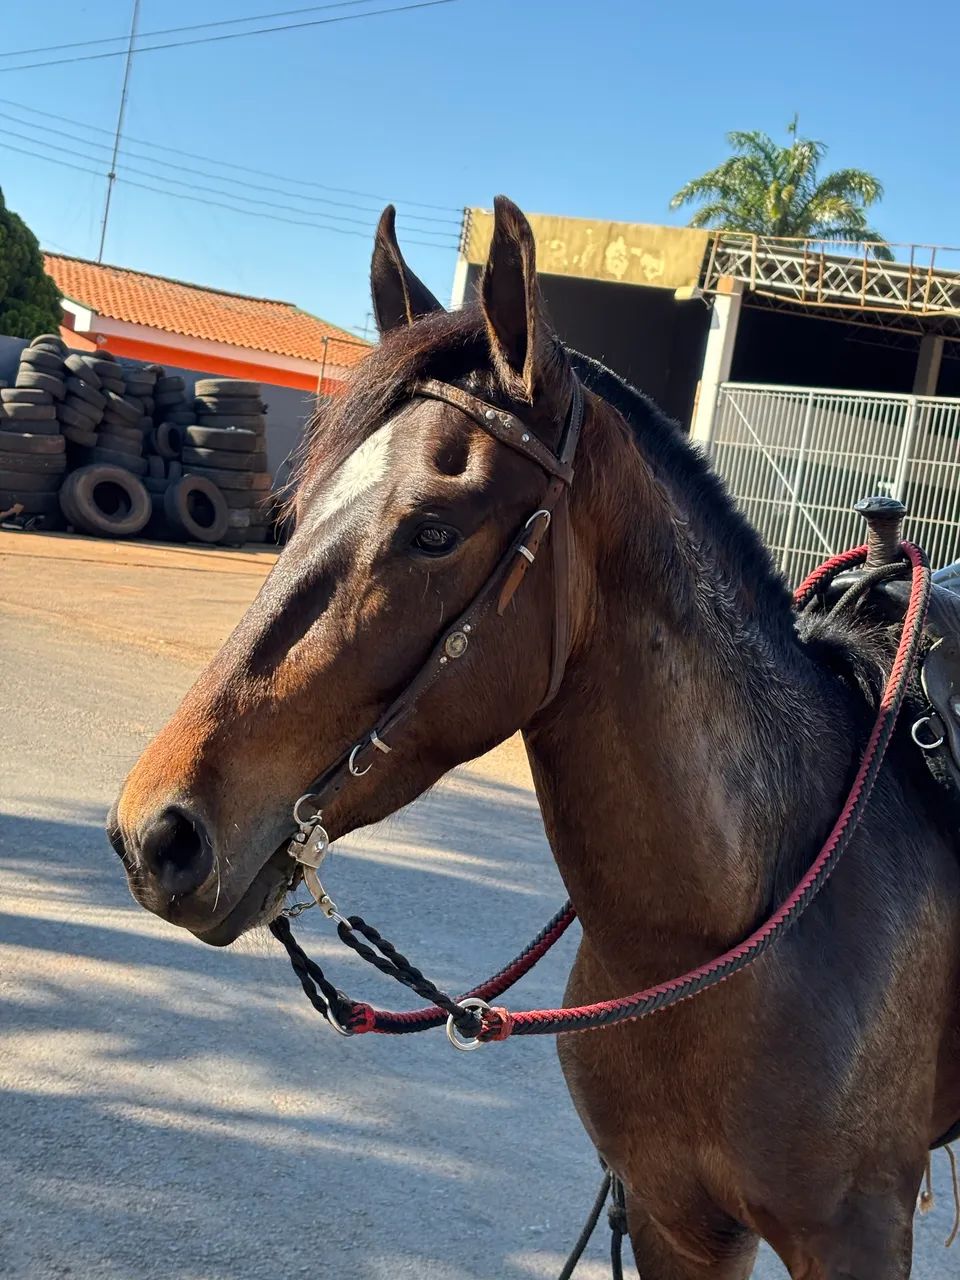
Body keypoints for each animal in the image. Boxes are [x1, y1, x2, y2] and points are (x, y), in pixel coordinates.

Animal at [109, 196, 960, 1278]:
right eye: (295, 511)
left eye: (434, 530)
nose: (157, 833)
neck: (723, 928)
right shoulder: (675, 1218)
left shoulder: (853, 1234)